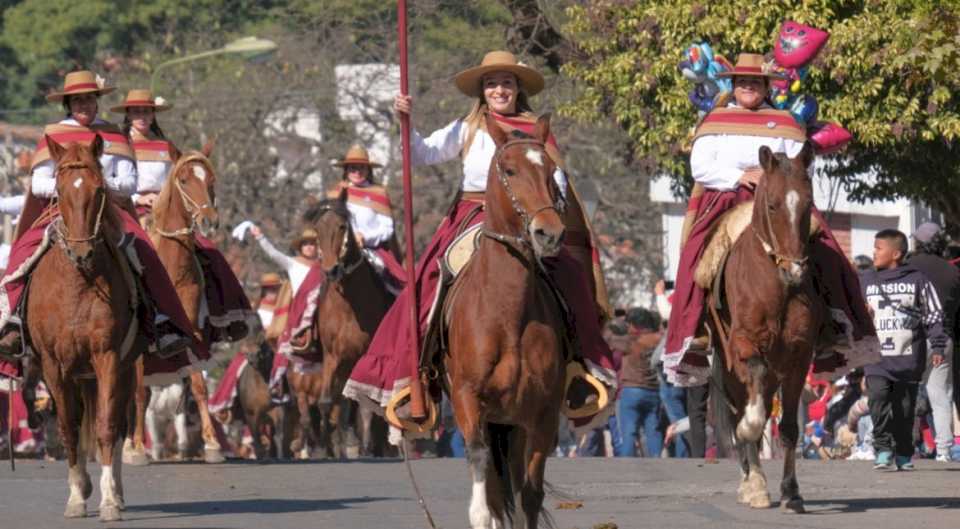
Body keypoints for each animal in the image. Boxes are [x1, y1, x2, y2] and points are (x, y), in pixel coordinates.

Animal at [25, 135, 148, 520]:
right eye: (61, 190)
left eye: (99, 190)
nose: (81, 253)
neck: (77, 283)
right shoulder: (52, 365)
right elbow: (68, 427)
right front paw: (77, 496)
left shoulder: (107, 357)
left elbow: (106, 429)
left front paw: (108, 501)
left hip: (123, 370)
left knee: (119, 425)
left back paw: (116, 492)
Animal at [284, 194, 394, 458]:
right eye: (317, 230)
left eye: (343, 226)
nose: (331, 270)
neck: (349, 307)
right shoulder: (332, 356)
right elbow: (327, 403)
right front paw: (325, 449)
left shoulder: (366, 355)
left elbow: (365, 403)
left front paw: (366, 447)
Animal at [444, 112, 568, 528]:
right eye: (509, 170)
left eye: (551, 171)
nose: (549, 233)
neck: (507, 315)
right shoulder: (468, 400)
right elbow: (486, 496)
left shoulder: (542, 412)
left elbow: (530, 493)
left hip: (512, 423)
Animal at [708, 143, 820, 512]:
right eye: (772, 205)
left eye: (809, 204)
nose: (795, 271)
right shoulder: (745, 345)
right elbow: (750, 420)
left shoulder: (799, 356)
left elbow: (789, 428)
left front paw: (792, 491)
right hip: (731, 365)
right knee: (740, 407)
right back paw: (752, 482)